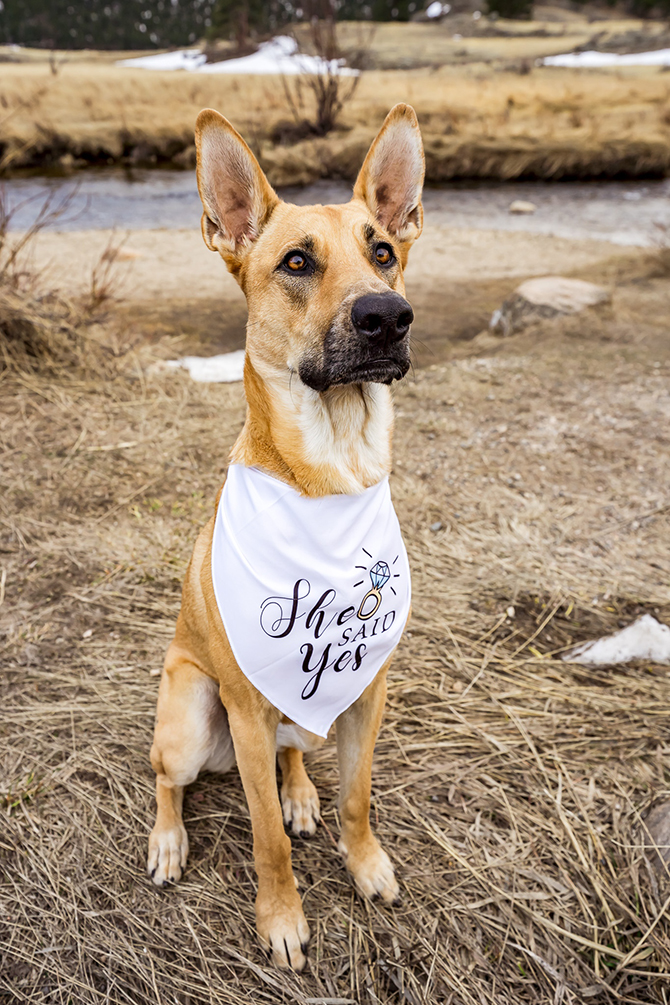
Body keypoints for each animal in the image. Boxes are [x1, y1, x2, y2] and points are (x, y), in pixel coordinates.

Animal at [146, 104, 423, 972]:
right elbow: (266, 836)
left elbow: (357, 795)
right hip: (188, 712)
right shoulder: (243, 704)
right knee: (167, 778)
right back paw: (168, 840)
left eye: (383, 251)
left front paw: (365, 863)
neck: (329, 479)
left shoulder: (369, 687)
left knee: (296, 748)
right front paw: (281, 918)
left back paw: (301, 788)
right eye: (296, 262)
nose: (386, 317)